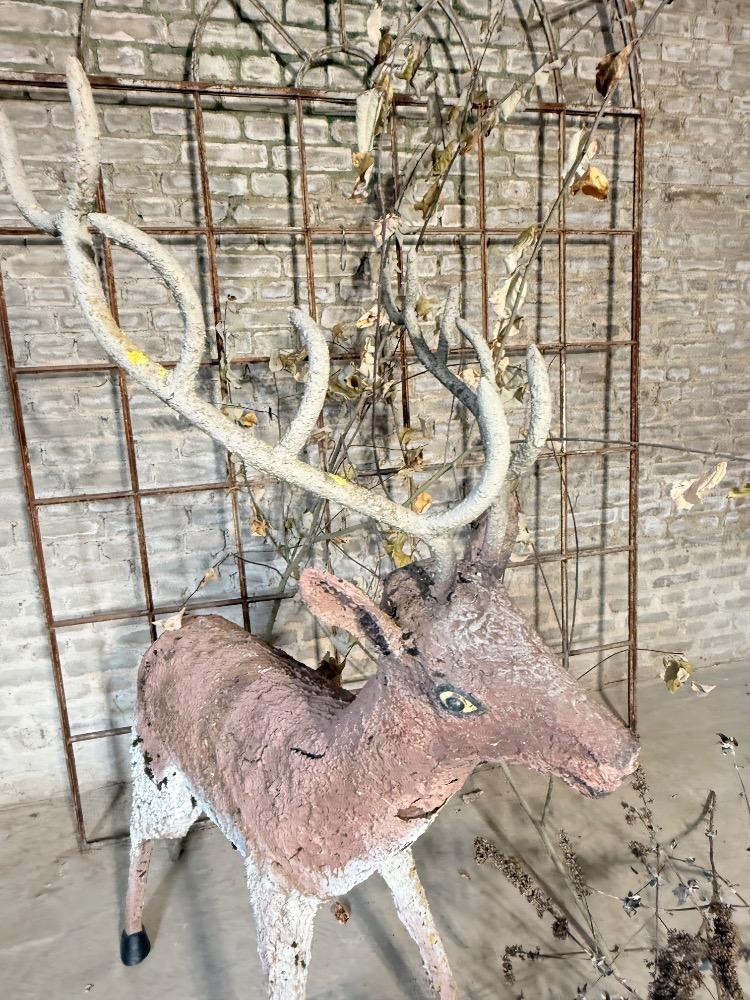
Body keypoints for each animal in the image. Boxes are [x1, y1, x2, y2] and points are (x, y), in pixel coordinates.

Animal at [0, 58, 639, 1000]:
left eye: (531, 631)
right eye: (454, 693)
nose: (621, 756)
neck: (337, 788)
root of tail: (176, 626)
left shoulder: (396, 861)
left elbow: (437, 958)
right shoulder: (277, 882)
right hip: (151, 765)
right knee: (139, 841)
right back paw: (131, 940)